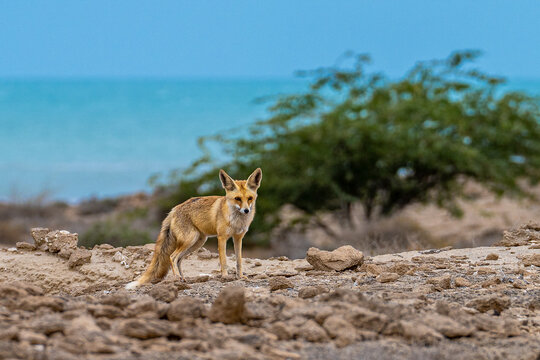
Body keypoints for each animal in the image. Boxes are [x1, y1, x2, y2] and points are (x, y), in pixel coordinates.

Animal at [126, 168, 262, 290]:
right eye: (237, 199)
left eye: (250, 198)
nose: (246, 210)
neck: (237, 221)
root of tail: (174, 209)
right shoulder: (222, 237)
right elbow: (223, 261)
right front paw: (225, 276)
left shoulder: (238, 238)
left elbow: (239, 260)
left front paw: (240, 276)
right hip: (190, 240)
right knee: (172, 257)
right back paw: (177, 278)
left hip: (197, 242)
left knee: (179, 259)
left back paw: (183, 278)